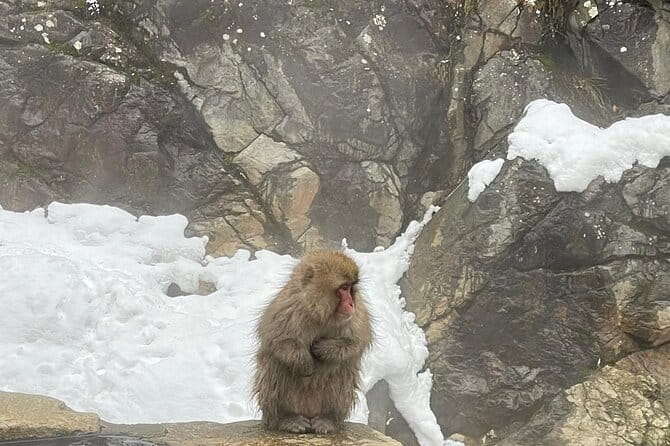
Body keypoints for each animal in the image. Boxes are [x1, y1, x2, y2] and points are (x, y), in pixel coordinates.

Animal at [252, 250, 372, 434]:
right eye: (344, 288)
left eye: (351, 288)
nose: (351, 303)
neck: (320, 314)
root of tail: (308, 413)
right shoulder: (288, 307)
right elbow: (278, 340)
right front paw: (305, 362)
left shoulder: (357, 314)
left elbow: (355, 343)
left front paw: (324, 349)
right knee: (274, 362)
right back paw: (286, 418)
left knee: (343, 368)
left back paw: (329, 419)